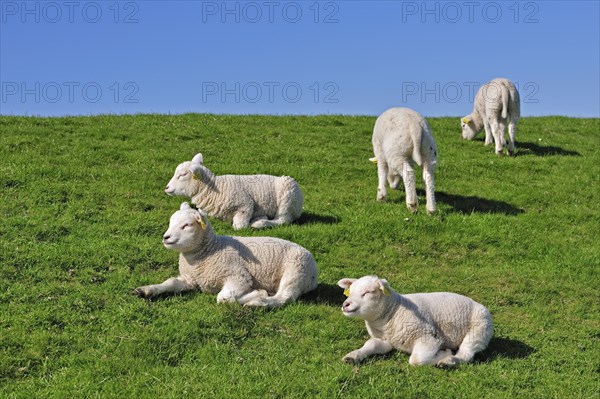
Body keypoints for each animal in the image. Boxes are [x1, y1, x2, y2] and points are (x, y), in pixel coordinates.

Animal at [135, 203, 318, 310]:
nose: (165, 238)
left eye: (186, 225)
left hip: (295, 271)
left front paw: (256, 294)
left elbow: (223, 298)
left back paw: (257, 303)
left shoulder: (239, 276)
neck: (211, 249)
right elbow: (170, 282)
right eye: (171, 222)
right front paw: (146, 290)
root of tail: (314, 276)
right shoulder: (190, 279)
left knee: (284, 297)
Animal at [164, 153, 302, 230]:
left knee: (283, 220)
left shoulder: (245, 205)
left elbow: (239, 227)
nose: (166, 188)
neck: (214, 188)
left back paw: (259, 223)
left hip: (287, 198)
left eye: (182, 175)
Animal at [338, 276, 492, 368]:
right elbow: (372, 344)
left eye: (367, 292)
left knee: (466, 354)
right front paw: (353, 356)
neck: (394, 310)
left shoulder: (429, 336)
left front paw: (444, 353)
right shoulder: (385, 340)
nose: (346, 304)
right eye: (350, 292)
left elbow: (417, 360)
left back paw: (448, 361)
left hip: (478, 331)